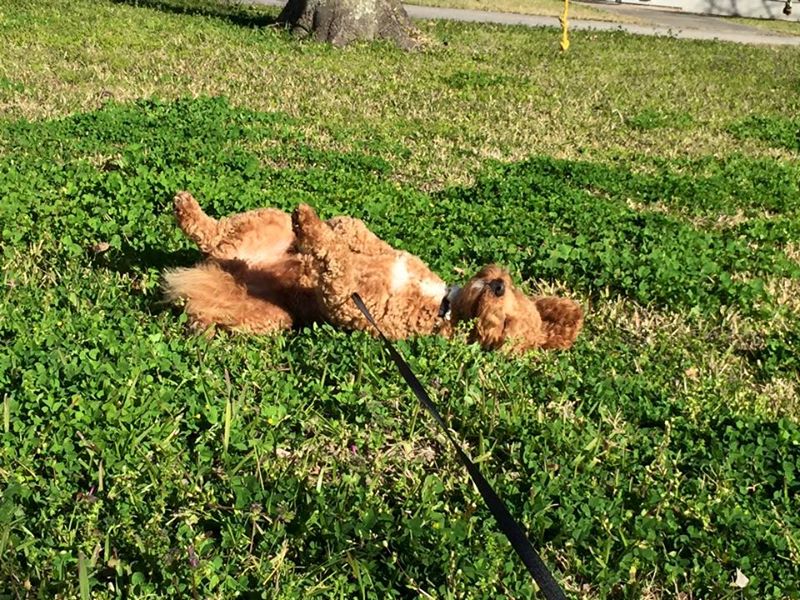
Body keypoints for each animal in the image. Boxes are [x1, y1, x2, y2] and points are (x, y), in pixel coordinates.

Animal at [162, 191, 580, 352]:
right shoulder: (387, 255)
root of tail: (229, 268)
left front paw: (314, 228)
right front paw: (326, 225)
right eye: (512, 290)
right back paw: (188, 208)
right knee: (213, 232)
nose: (496, 285)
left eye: (506, 326)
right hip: (264, 222)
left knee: (211, 295)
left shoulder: (348, 299)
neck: (442, 304)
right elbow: (357, 233)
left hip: (271, 317)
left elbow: (336, 257)